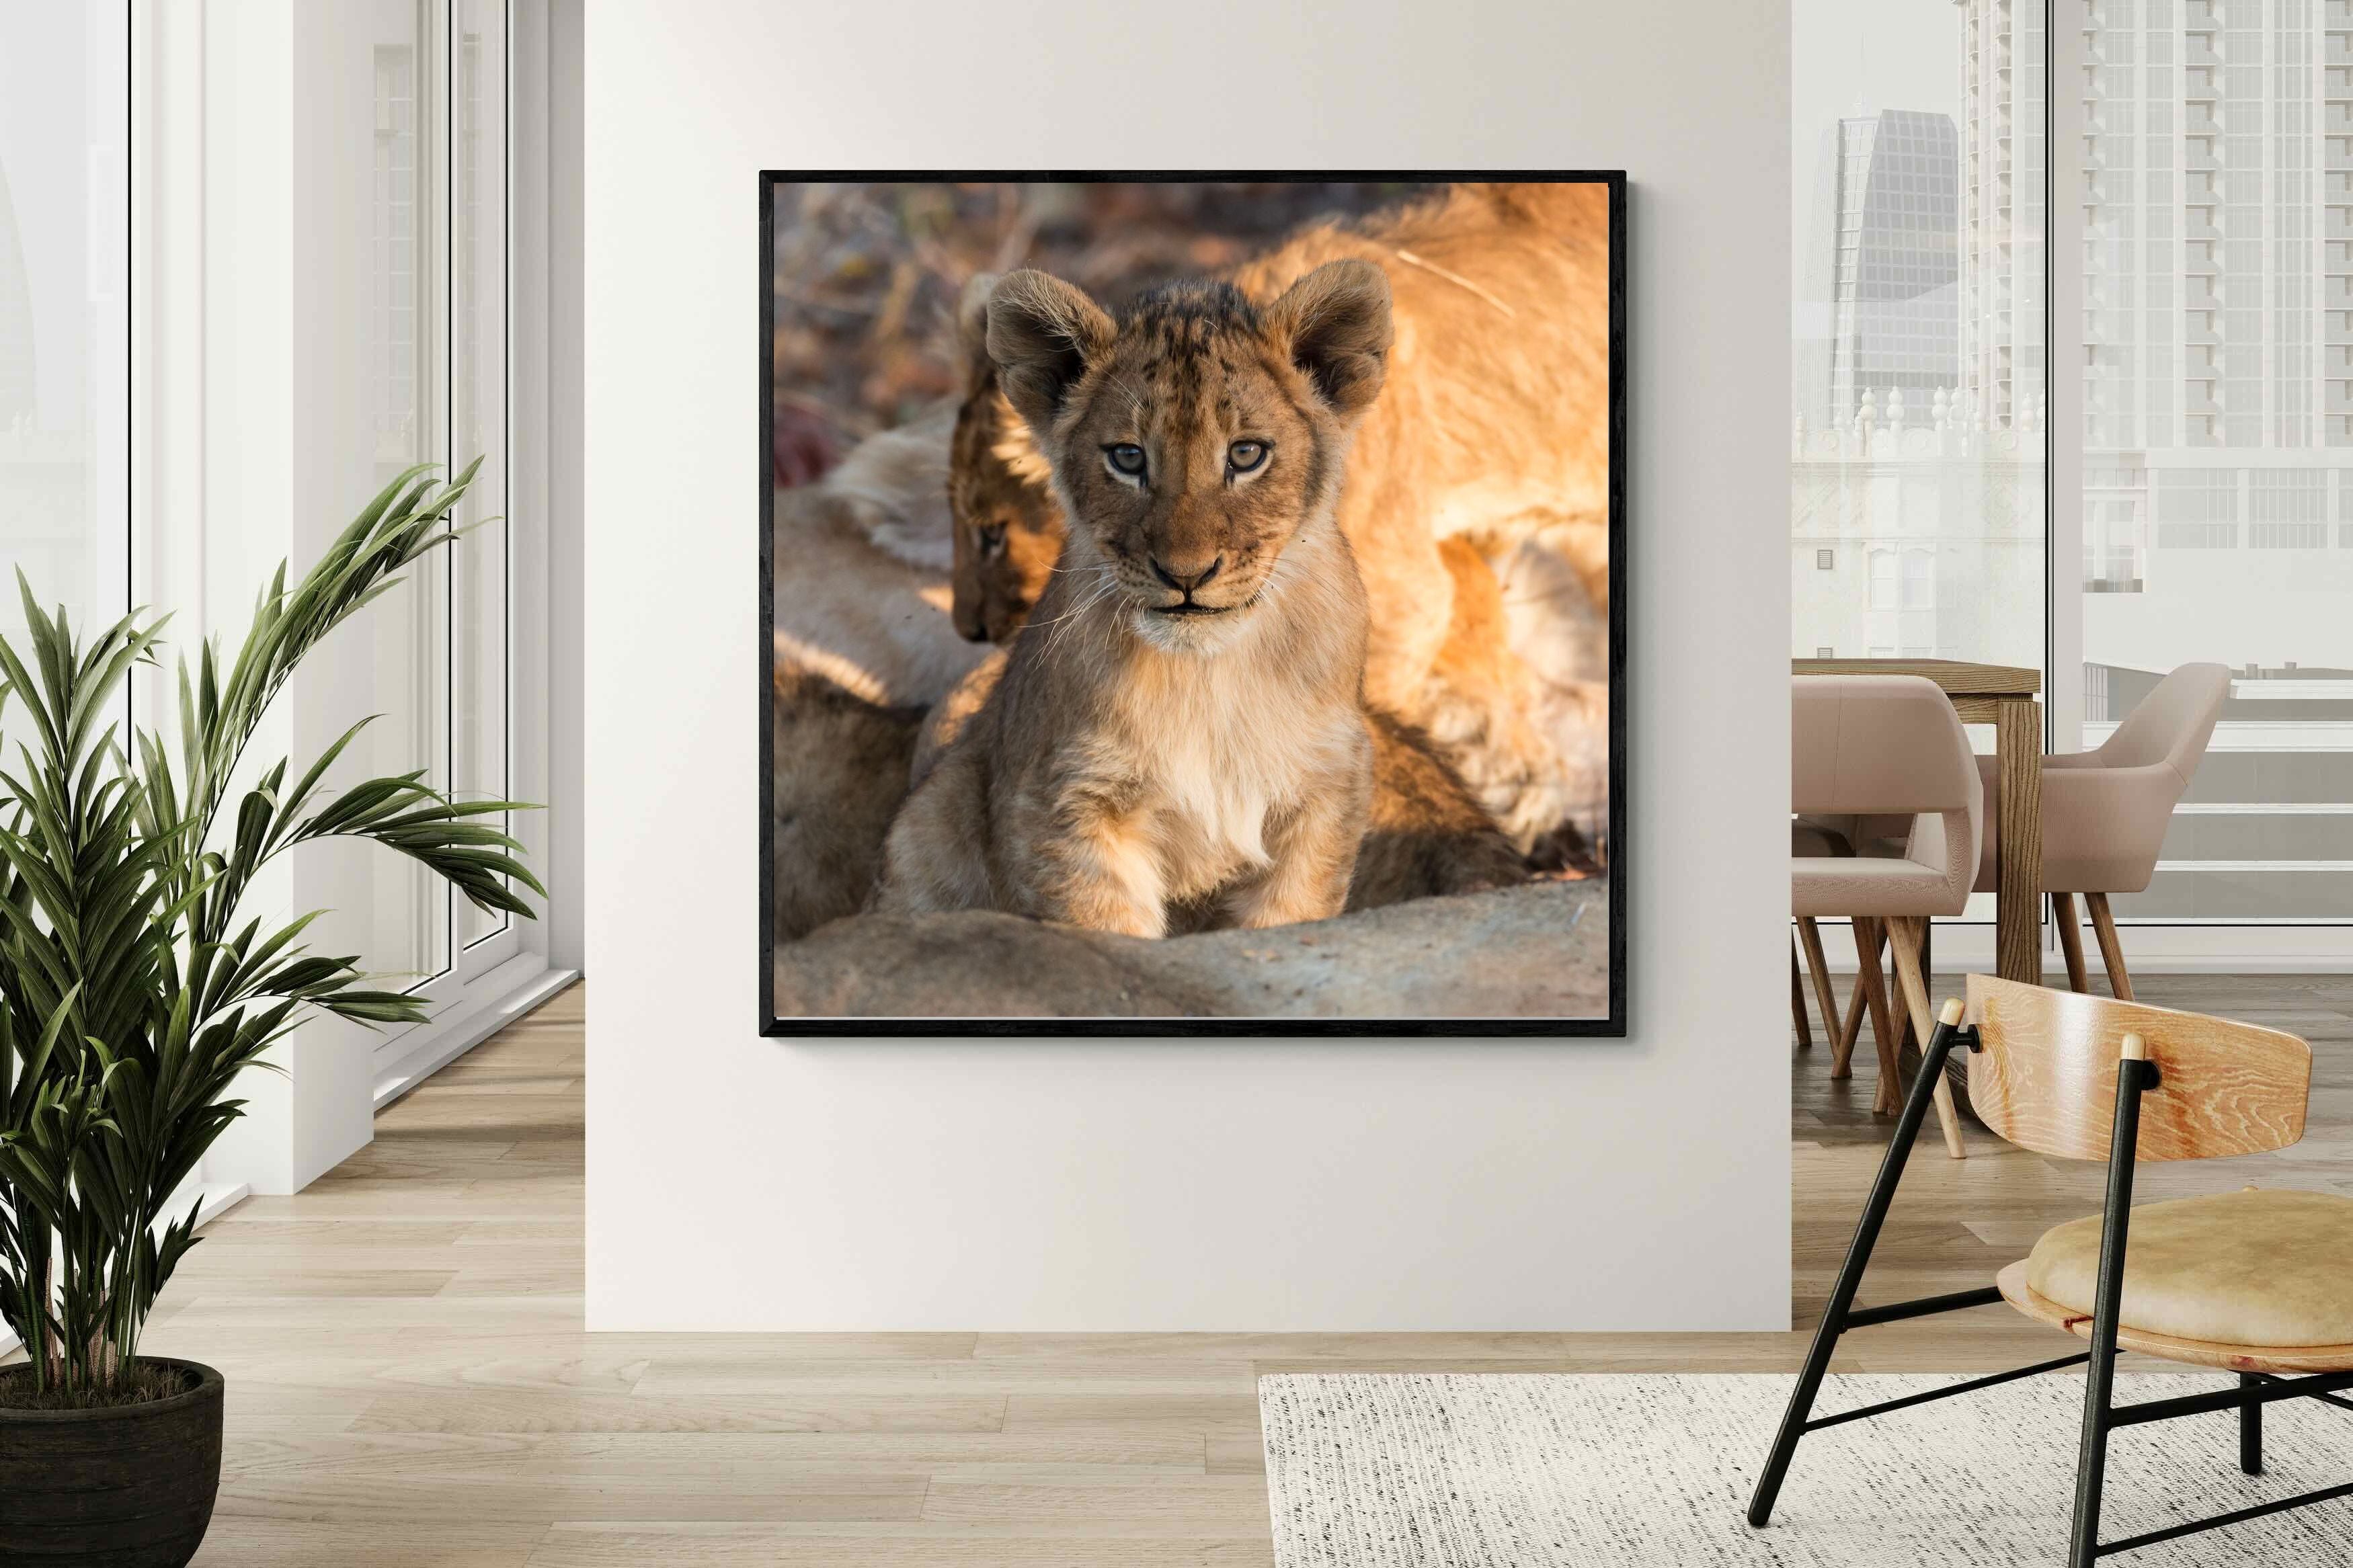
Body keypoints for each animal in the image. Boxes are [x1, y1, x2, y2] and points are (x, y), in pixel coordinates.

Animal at [878, 262, 1406, 935]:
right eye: (1128, 458)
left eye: (1246, 454)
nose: (1187, 574)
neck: (1209, 678)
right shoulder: (1067, 801)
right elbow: (1105, 931)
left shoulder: (1325, 790)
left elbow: (1289, 918)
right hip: (934, 819)